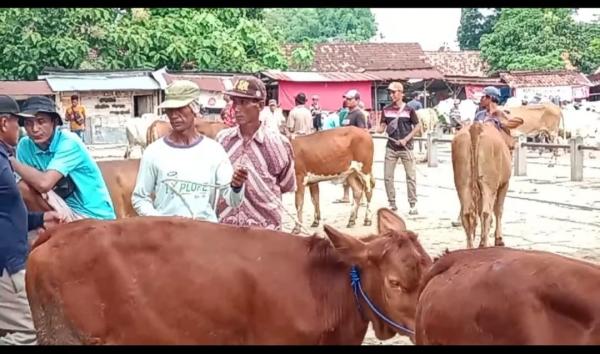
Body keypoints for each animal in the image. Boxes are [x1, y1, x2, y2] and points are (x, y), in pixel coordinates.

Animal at [452, 117, 524, 248]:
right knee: (486, 213)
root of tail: (475, 127)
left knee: (467, 213)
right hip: (488, 185)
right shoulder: (504, 184)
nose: (512, 145)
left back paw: (471, 247)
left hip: (463, 184)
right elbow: (499, 210)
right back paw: (486, 245)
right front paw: (498, 239)